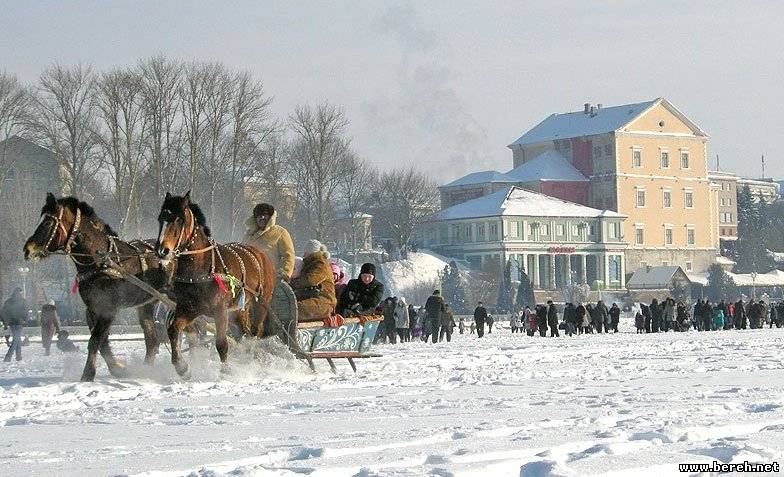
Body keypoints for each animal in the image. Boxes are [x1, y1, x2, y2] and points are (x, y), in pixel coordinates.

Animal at [23, 192, 172, 380]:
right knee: (152, 340)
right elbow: (102, 342)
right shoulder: (92, 309)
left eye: (48, 222)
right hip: (147, 304)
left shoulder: (108, 309)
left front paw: (88, 374)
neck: (101, 260)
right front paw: (118, 369)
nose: (27, 250)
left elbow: (95, 340)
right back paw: (146, 371)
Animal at [155, 192, 274, 378]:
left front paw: (226, 371)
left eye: (179, 220)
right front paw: (182, 367)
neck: (201, 269)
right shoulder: (188, 308)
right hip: (239, 309)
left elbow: (221, 342)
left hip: (261, 303)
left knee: (256, 332)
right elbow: (174, 329)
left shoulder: (220, 310)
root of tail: (260, 254)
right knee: (245, 333)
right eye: (161, 218)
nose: (162, 251)